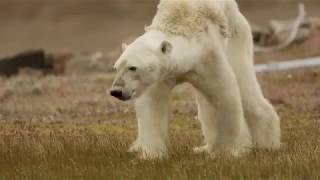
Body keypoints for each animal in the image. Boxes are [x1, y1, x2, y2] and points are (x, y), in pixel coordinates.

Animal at [109, 0, 280, 159]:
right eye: (116, 68)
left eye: (133, 67)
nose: (116, 91)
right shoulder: (161, 75)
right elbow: (152, 105)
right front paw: (151, 154)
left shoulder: (209, 57)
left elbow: (225, 97)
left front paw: (224, 152)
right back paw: (203, 148)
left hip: (236, 38)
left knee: (245, 87)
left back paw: (267, 144)